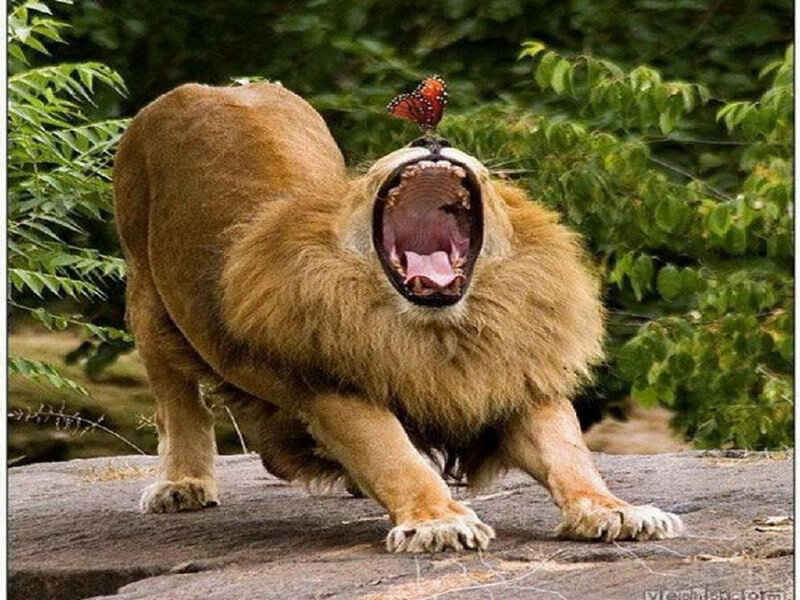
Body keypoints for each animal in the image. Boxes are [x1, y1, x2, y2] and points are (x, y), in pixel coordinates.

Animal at [113, 82, 684, 553]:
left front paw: (616, 511)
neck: (443, 331)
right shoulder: (335, 388)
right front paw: (439, 521)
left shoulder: (514, 377)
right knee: (176, 401)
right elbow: (395, 456)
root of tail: (214, 86)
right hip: (146, 295)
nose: (429, 141)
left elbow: (569, 453)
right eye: (372, 175)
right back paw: (182, 485)